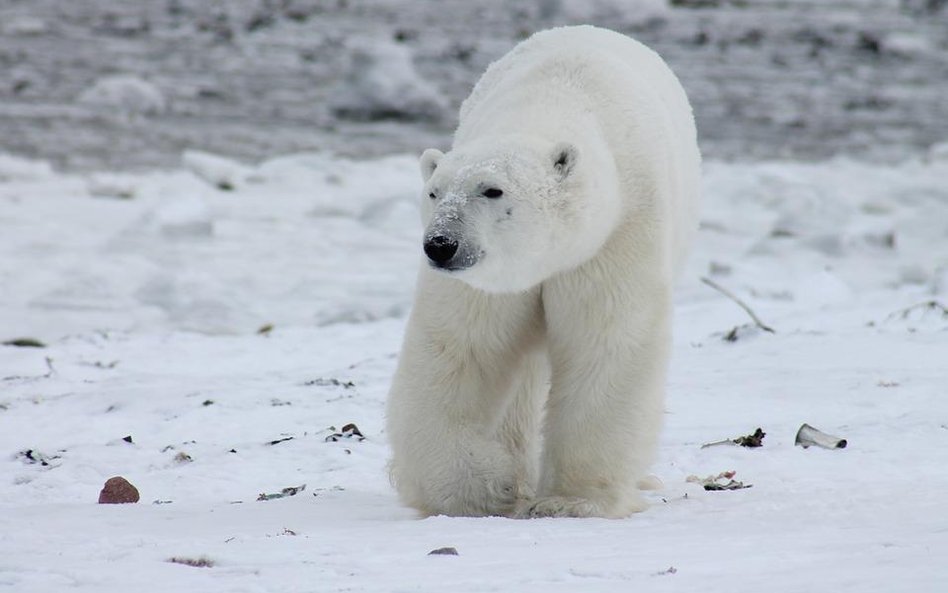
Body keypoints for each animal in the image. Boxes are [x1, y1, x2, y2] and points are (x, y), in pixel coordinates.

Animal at [386, 25, 704, 520]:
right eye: (435, 192)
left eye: (492, 190)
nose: (440, 245)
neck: (552, 101)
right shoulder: (489, 281)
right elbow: (461, 348)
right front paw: (480, 488)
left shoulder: (615, 235)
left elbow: (605, 343)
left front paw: (570, 501)